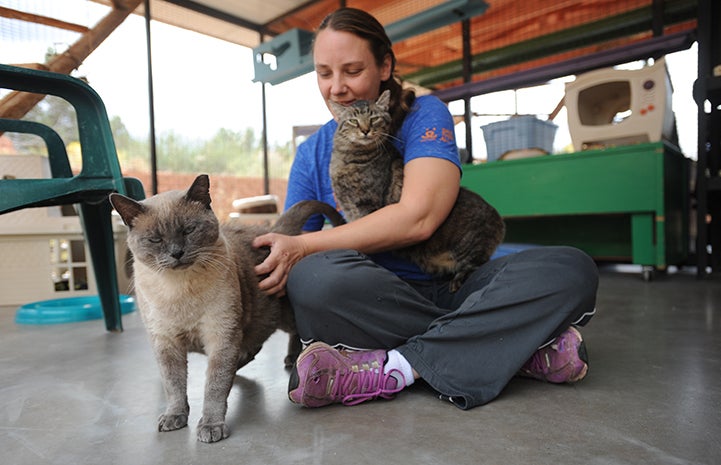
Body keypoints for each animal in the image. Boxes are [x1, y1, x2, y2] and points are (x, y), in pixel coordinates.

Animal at [108, 174, 342, 442]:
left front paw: (211, 427)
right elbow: (174, 386)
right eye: (156, 239)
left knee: (294, 332)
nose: (177, 253)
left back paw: (292, 359)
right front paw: (174, 417)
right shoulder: (166, 344)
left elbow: (214, 386)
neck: (179, 290)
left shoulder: (221, 336)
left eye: (189, 230)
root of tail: (277, 229)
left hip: (281, 316)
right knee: (252, 348)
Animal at [330, 89, 504, 290]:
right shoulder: (349, 209)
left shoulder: (368, 206)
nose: (365, 130)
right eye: (353, 121)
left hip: (471, 249)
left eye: (374, 118)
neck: (346, 158)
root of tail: (498, 217)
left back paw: (458, 280)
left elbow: (364, 239)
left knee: (477, 264)